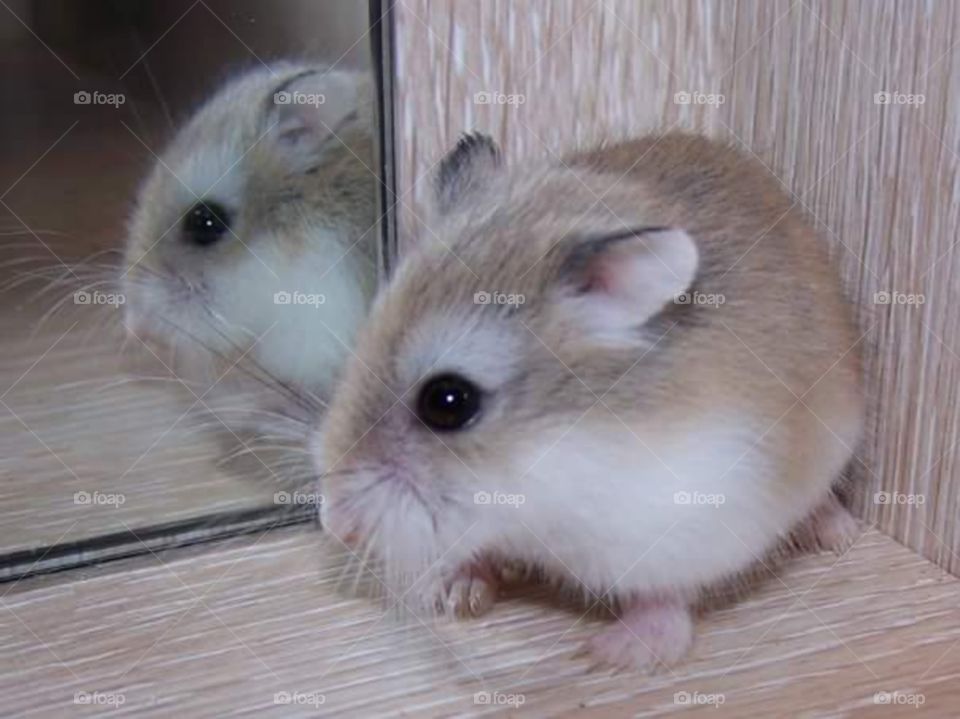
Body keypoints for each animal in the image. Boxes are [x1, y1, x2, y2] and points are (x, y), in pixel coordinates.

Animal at [316, 131, 864, 671]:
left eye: (449, 402)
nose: (334, 526)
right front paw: (452, 593)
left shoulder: (694, 523)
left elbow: (665, 597)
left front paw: (608, 655)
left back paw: (841, 535)